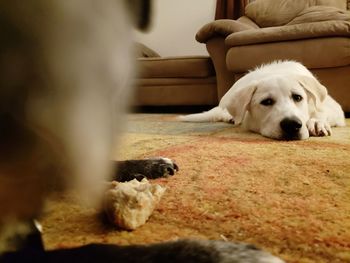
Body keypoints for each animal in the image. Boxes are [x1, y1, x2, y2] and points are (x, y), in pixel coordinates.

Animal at [180, 61, 344, 141]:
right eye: (267, 102)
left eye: (298, 97)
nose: (292, 125)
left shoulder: (335, 108)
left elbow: (321, 111)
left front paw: (316, 122)